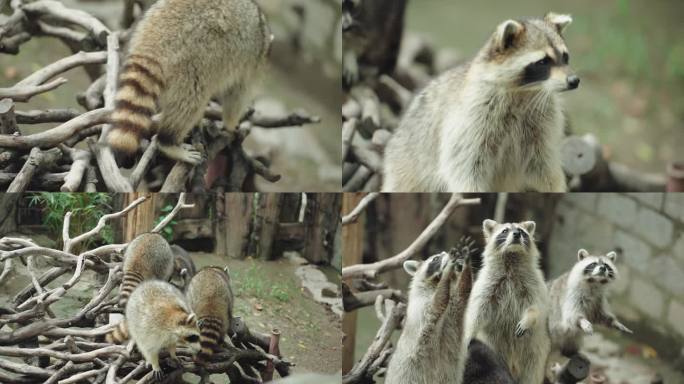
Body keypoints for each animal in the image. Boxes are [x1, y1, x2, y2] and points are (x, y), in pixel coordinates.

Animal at [105, 0, 272, 164]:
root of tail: (155, 40)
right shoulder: (251, 64)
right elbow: (236, 97)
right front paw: (231, 124)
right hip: (193, 60)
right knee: (190, 101)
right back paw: (167, 142)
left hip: (144, 30)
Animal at [382, 12, 580, 192]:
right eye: (542, 62)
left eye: (565, 56)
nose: (574, 80)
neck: (525, 92)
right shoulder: (473, 118)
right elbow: (465, 167)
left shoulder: (542, 124)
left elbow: (543, 166)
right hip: (405, 164)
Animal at [388, 250, 472, 382]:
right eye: (436, 258)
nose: (451, 255)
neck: (435, 283)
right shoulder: (421, 306)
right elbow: (437, 305)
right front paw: (447, 272)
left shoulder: (453, 310)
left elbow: (462, 295)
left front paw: (465, 266)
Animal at [464, 219, 552, 384]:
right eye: (505, 231)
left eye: (522, 231)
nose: (516, 234)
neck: (512, 256)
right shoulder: (487, 284)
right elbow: (477, 310)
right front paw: (468, 331)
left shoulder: (535, 283)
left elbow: (536, 307)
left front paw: (529, 318)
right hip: (494, 347)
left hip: (536, 350)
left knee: (531, 373)